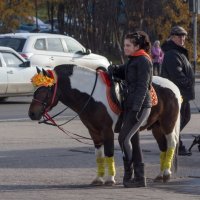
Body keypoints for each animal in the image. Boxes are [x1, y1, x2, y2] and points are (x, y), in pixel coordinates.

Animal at [28, 65, 183, 185]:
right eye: (35, 89)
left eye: (44, 90)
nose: (32, 113)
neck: (92, 97)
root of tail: (173, 86)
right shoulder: (94, 132)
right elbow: (99, 154)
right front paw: (98, 178)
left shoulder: (107, 130)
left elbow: (109, 152)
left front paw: (110, 179)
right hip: (156, 127)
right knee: (163, 147)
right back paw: (160, 175)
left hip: (168, 124)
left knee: (171, 144)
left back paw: (166, 174)